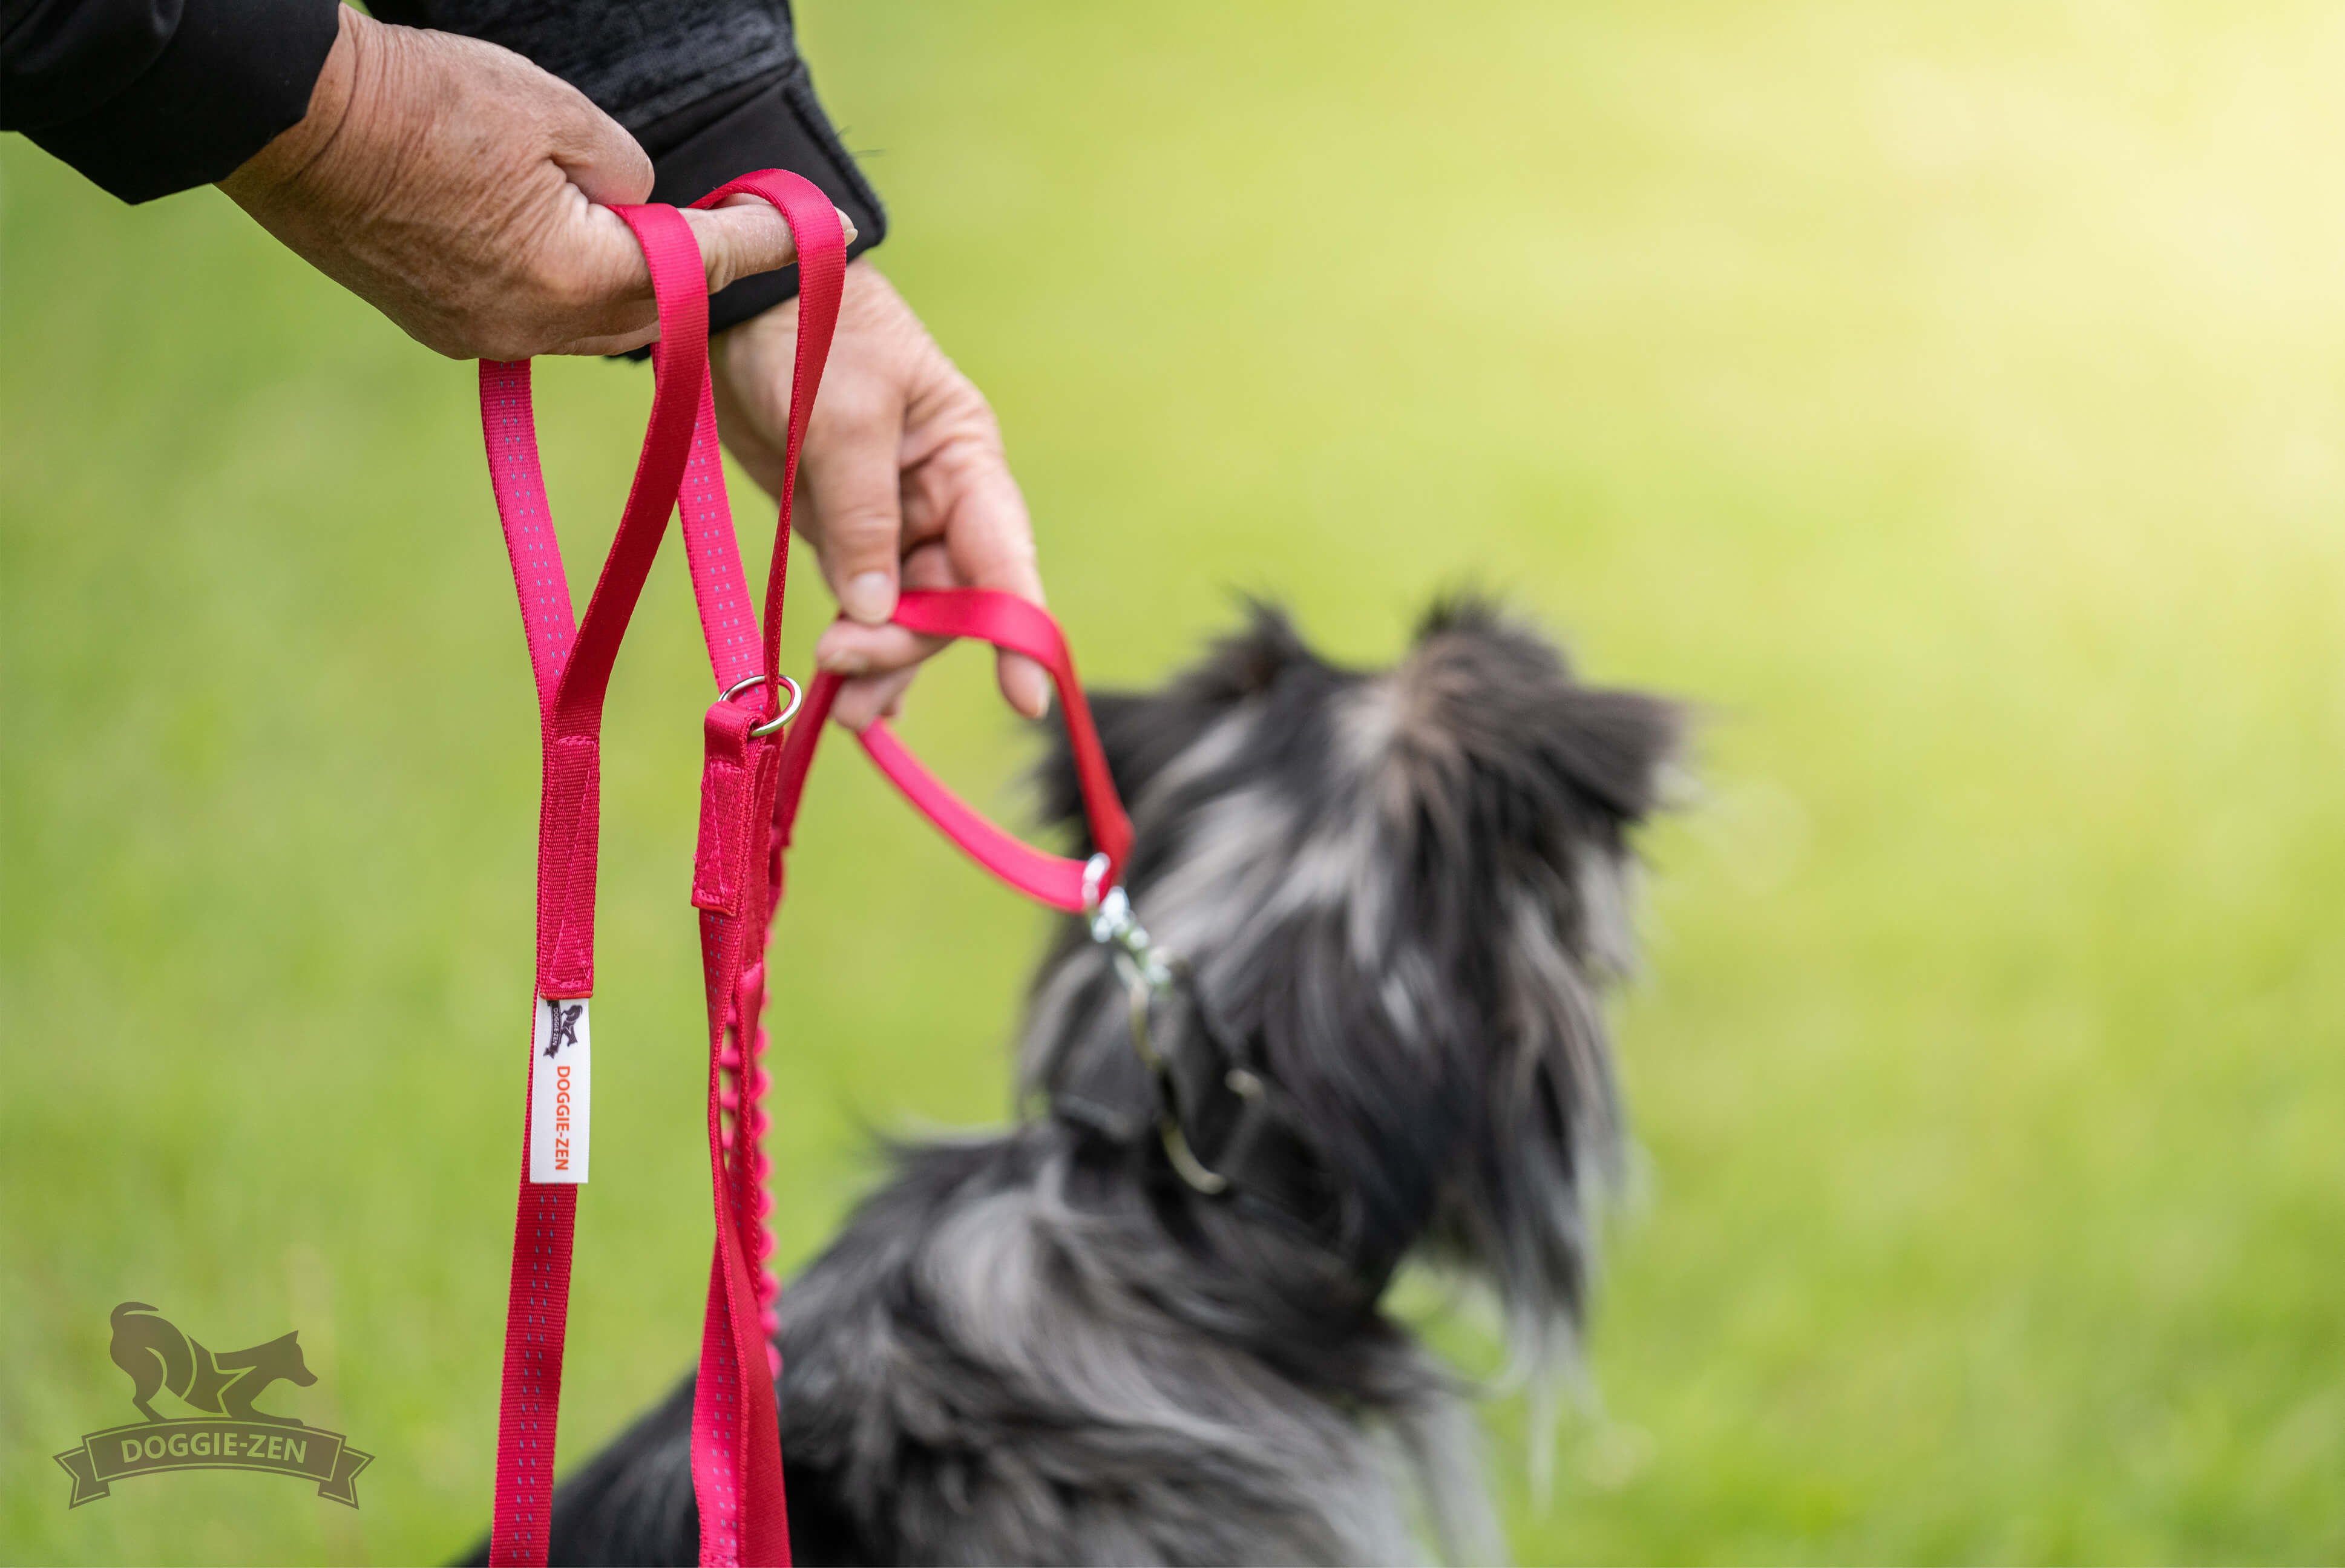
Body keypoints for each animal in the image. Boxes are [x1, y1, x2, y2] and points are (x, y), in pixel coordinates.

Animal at [108, 1293, 316, 1415]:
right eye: (297, 1361)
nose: (314, 1379)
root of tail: (118, 1323)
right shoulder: (235, 1405)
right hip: (152, 1371)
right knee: (138, 1400)